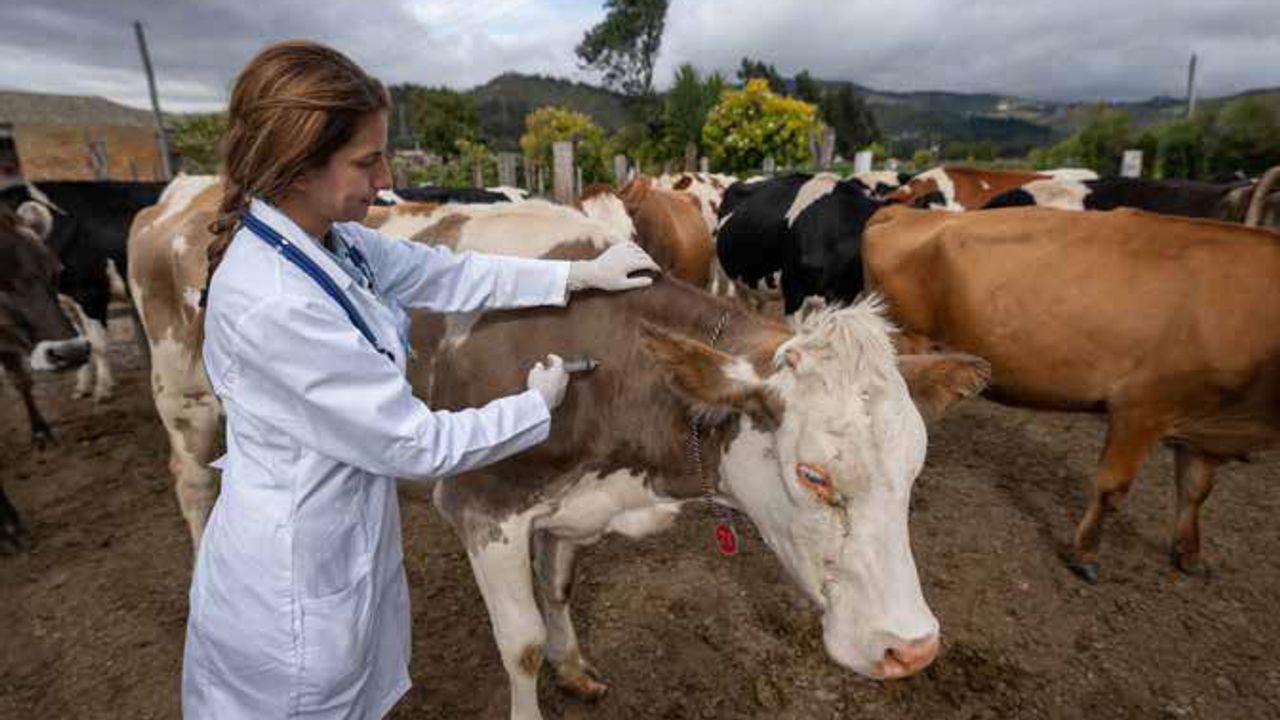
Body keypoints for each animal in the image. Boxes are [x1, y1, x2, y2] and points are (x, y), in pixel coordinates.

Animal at [0, 178, 165, 397]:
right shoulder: (68, 301)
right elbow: (82, 342)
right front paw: (83, 386)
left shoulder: (91, 294)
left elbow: (97, 345)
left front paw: (103, 388)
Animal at [129, 175, 988, 717]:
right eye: (813, 475)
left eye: (914, 472)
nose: (912, 649)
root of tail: (190, 191)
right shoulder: (484, 510)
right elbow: (521, 645)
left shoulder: (572, 504)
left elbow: (560, 591)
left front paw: (576, 668)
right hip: (182, 391)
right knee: (191, 480)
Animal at [860, 199, 1280, 576]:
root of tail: (902, 210)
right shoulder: (1140, 407)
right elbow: (1113, 488)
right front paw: (1085, 554)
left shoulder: (1205, 423)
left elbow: (1196, 489)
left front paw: (1189, 555)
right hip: (909, 342)